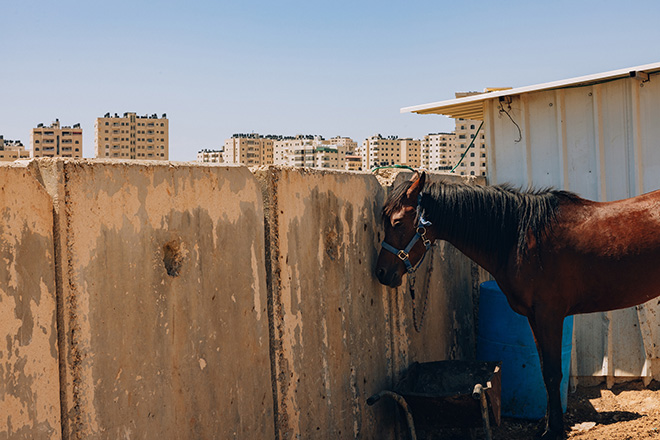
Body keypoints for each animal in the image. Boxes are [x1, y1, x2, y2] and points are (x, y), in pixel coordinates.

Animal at [376, 171, 660, 440]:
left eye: (397, 222)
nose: (381, 272)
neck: (520, 238)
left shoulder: (549, 315)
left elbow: (553, 373)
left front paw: (554, 430)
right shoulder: (534, 318)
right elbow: (544, 371)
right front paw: (547, 425)